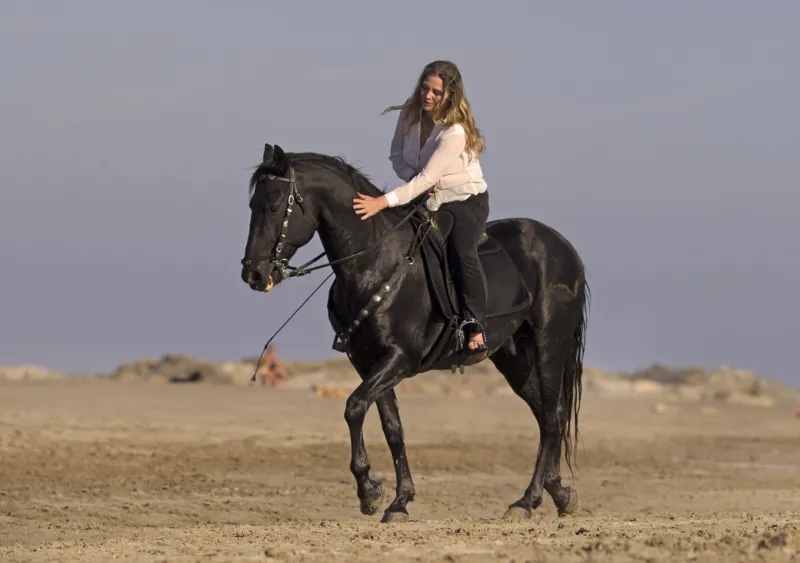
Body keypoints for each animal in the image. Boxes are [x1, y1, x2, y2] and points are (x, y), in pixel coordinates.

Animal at [240, 143, 590, 523]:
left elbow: (354, 407)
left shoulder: (399, 358)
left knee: (553, 418)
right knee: (547, 416)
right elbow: (392, 426)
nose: (253, 274)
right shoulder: (368, 361)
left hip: (548, 347)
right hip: (515, 359)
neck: (375, 263)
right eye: (253, 205)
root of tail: (564, 248)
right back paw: (558, 494)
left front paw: (369, 492)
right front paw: (398, 501)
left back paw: (527, 501)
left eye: (275, 206)